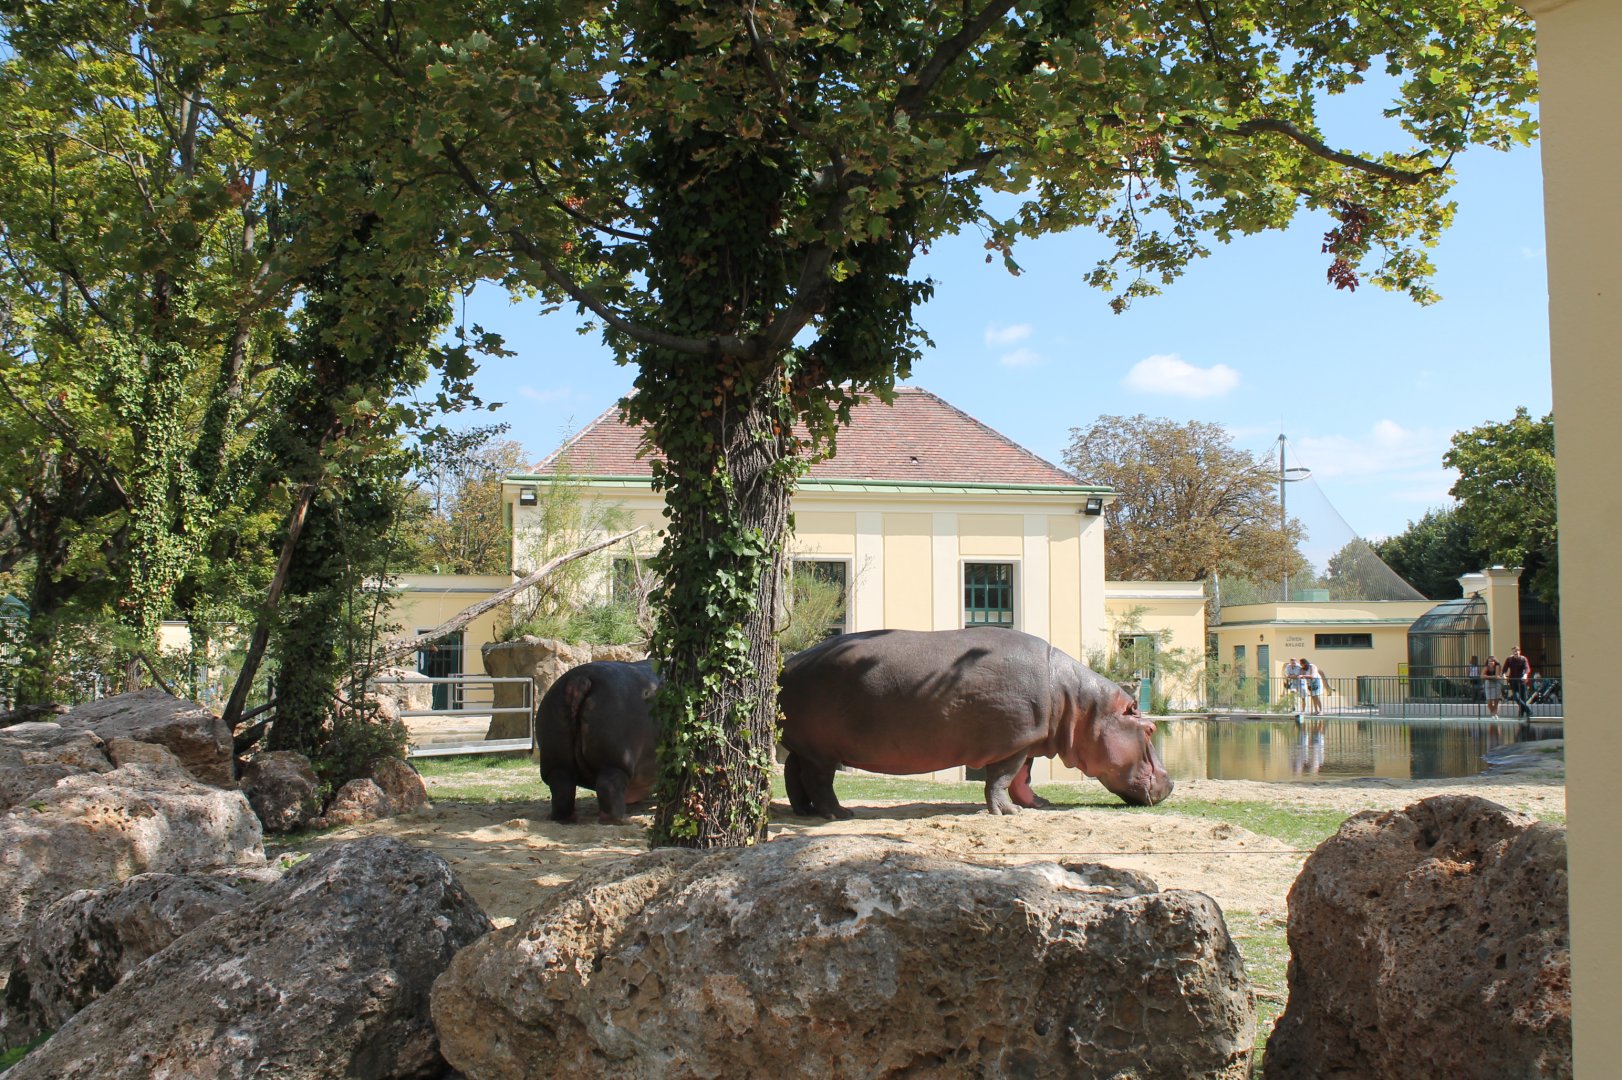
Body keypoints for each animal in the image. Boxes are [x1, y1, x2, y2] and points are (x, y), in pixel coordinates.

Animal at [536, 659, 662, 824]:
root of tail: (579, 679)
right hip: (614, 762)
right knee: (608, 787)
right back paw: (621, 820)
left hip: (555, 759)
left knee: (562, 790)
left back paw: (564, 819)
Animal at [778, 627, 1172, 818]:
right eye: (1150, 729)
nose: (1170, 784)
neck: (1079, 703)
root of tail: (787, 663)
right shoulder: (1014, 742)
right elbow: (1001, 779)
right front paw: (1009, 813)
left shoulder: (1028, 741)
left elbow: (1022, 779)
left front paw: (1037, 804)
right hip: (823, 751)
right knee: (819, 781)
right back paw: (839, 814)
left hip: (803, 744)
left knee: (794, 774)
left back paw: (804, 811)